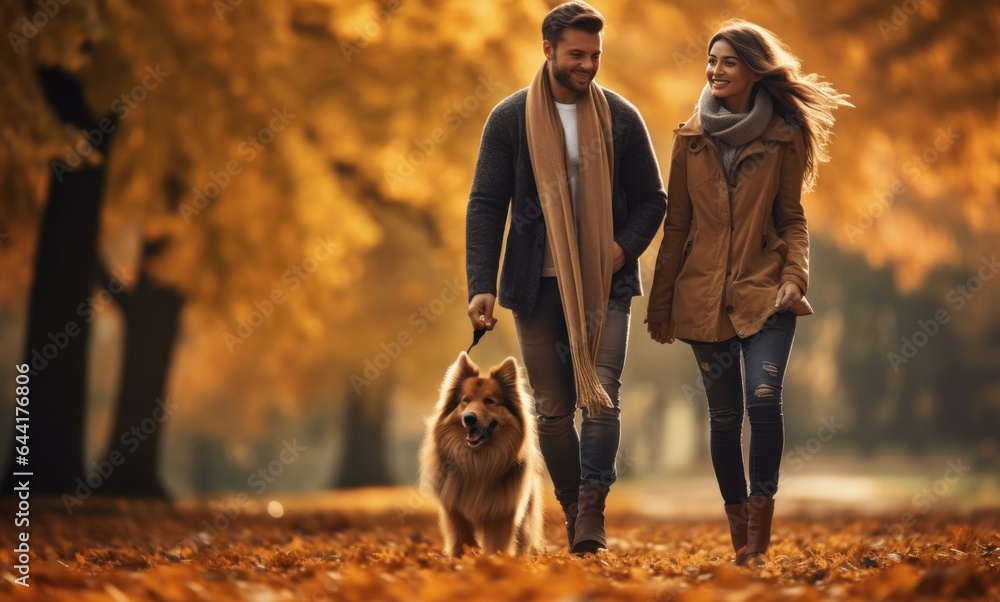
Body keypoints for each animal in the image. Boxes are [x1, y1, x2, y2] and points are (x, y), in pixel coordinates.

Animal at [418, 350, 544, 556]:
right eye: (466, 400)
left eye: (489, 401)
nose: (469, 418)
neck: (477, 463)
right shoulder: (455, 513)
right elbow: (461, 542)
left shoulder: (501, 513)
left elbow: (497, 545)